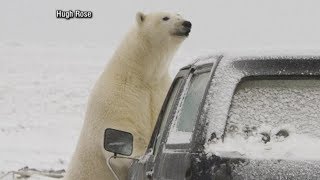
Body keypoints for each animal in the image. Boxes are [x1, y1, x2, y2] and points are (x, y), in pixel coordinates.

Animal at [63, 11, 191, 180]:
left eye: (180, 15)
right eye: (165, 17)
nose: (186, 23)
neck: (140, 73)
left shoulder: (158, 92)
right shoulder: (117, 95)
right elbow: (122, 128)